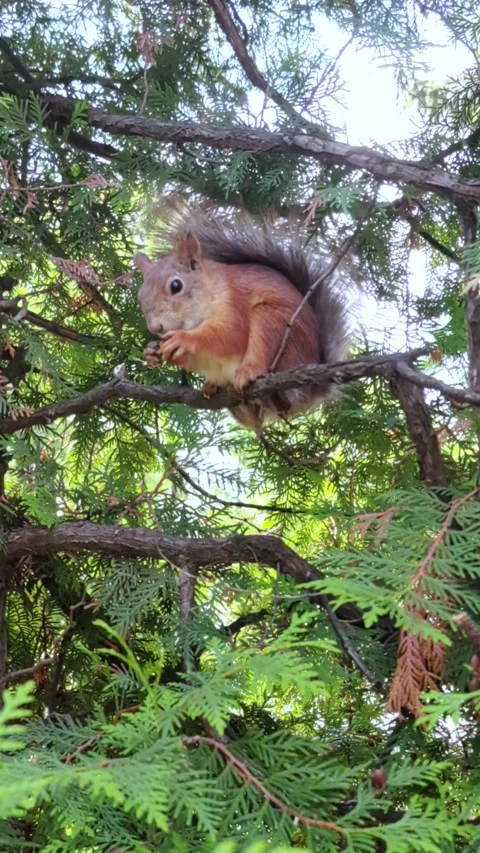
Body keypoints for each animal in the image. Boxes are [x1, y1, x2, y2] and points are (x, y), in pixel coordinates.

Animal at [134, 207, 349, 431]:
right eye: (140, 296)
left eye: (176, 286)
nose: (155, 327)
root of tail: (314, 389)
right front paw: (151, 351)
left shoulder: (234, 305)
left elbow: (229, 335)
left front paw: (183, 340)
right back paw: (215, 387)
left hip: (274, 326)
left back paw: (250, 374)